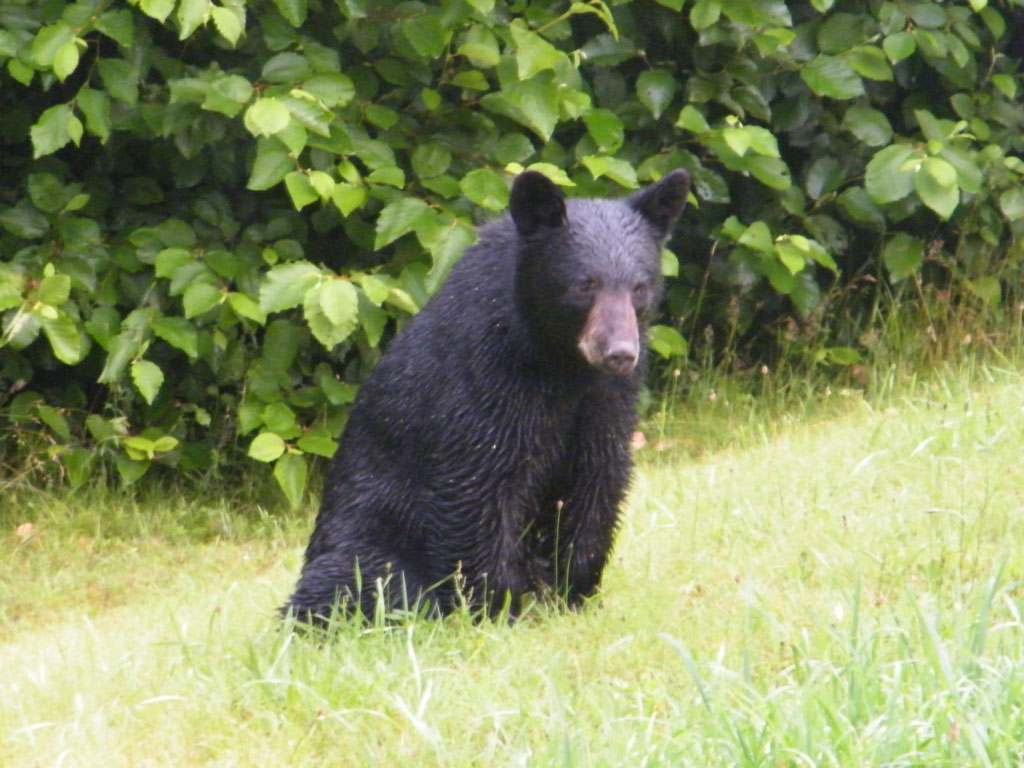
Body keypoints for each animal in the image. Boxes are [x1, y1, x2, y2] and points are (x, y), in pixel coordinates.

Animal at [284, 169, 692, 626]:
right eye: (584, 284)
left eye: (639, 287)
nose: (620, 353)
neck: (560, 364)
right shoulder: (486, 384)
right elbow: (478, 489)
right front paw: (496, 612)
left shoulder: (606, 402)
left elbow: (596, 483)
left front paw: (574, 596)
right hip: (366, 541)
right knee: (359, 579)